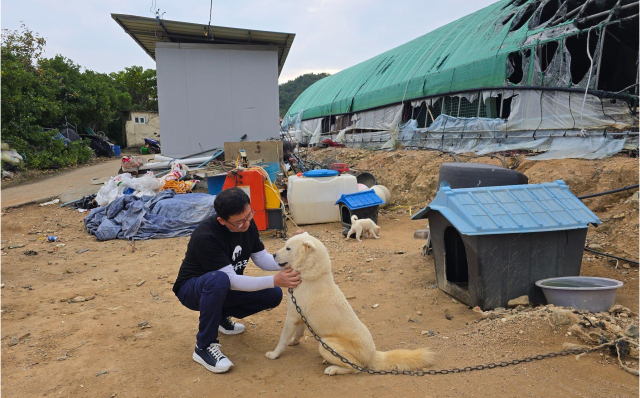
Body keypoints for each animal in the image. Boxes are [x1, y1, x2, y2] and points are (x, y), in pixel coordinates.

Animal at [268, 232, 432, 374]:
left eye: (288, 248)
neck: (309, 274)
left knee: (356, 368)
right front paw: (294, 342)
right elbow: (298, 333)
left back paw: (333, 369)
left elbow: (282, 340)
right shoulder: (300, 317)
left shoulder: (291, 317)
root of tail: (373, 355)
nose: (273, 255)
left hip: (325, 344)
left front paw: (274, 354)